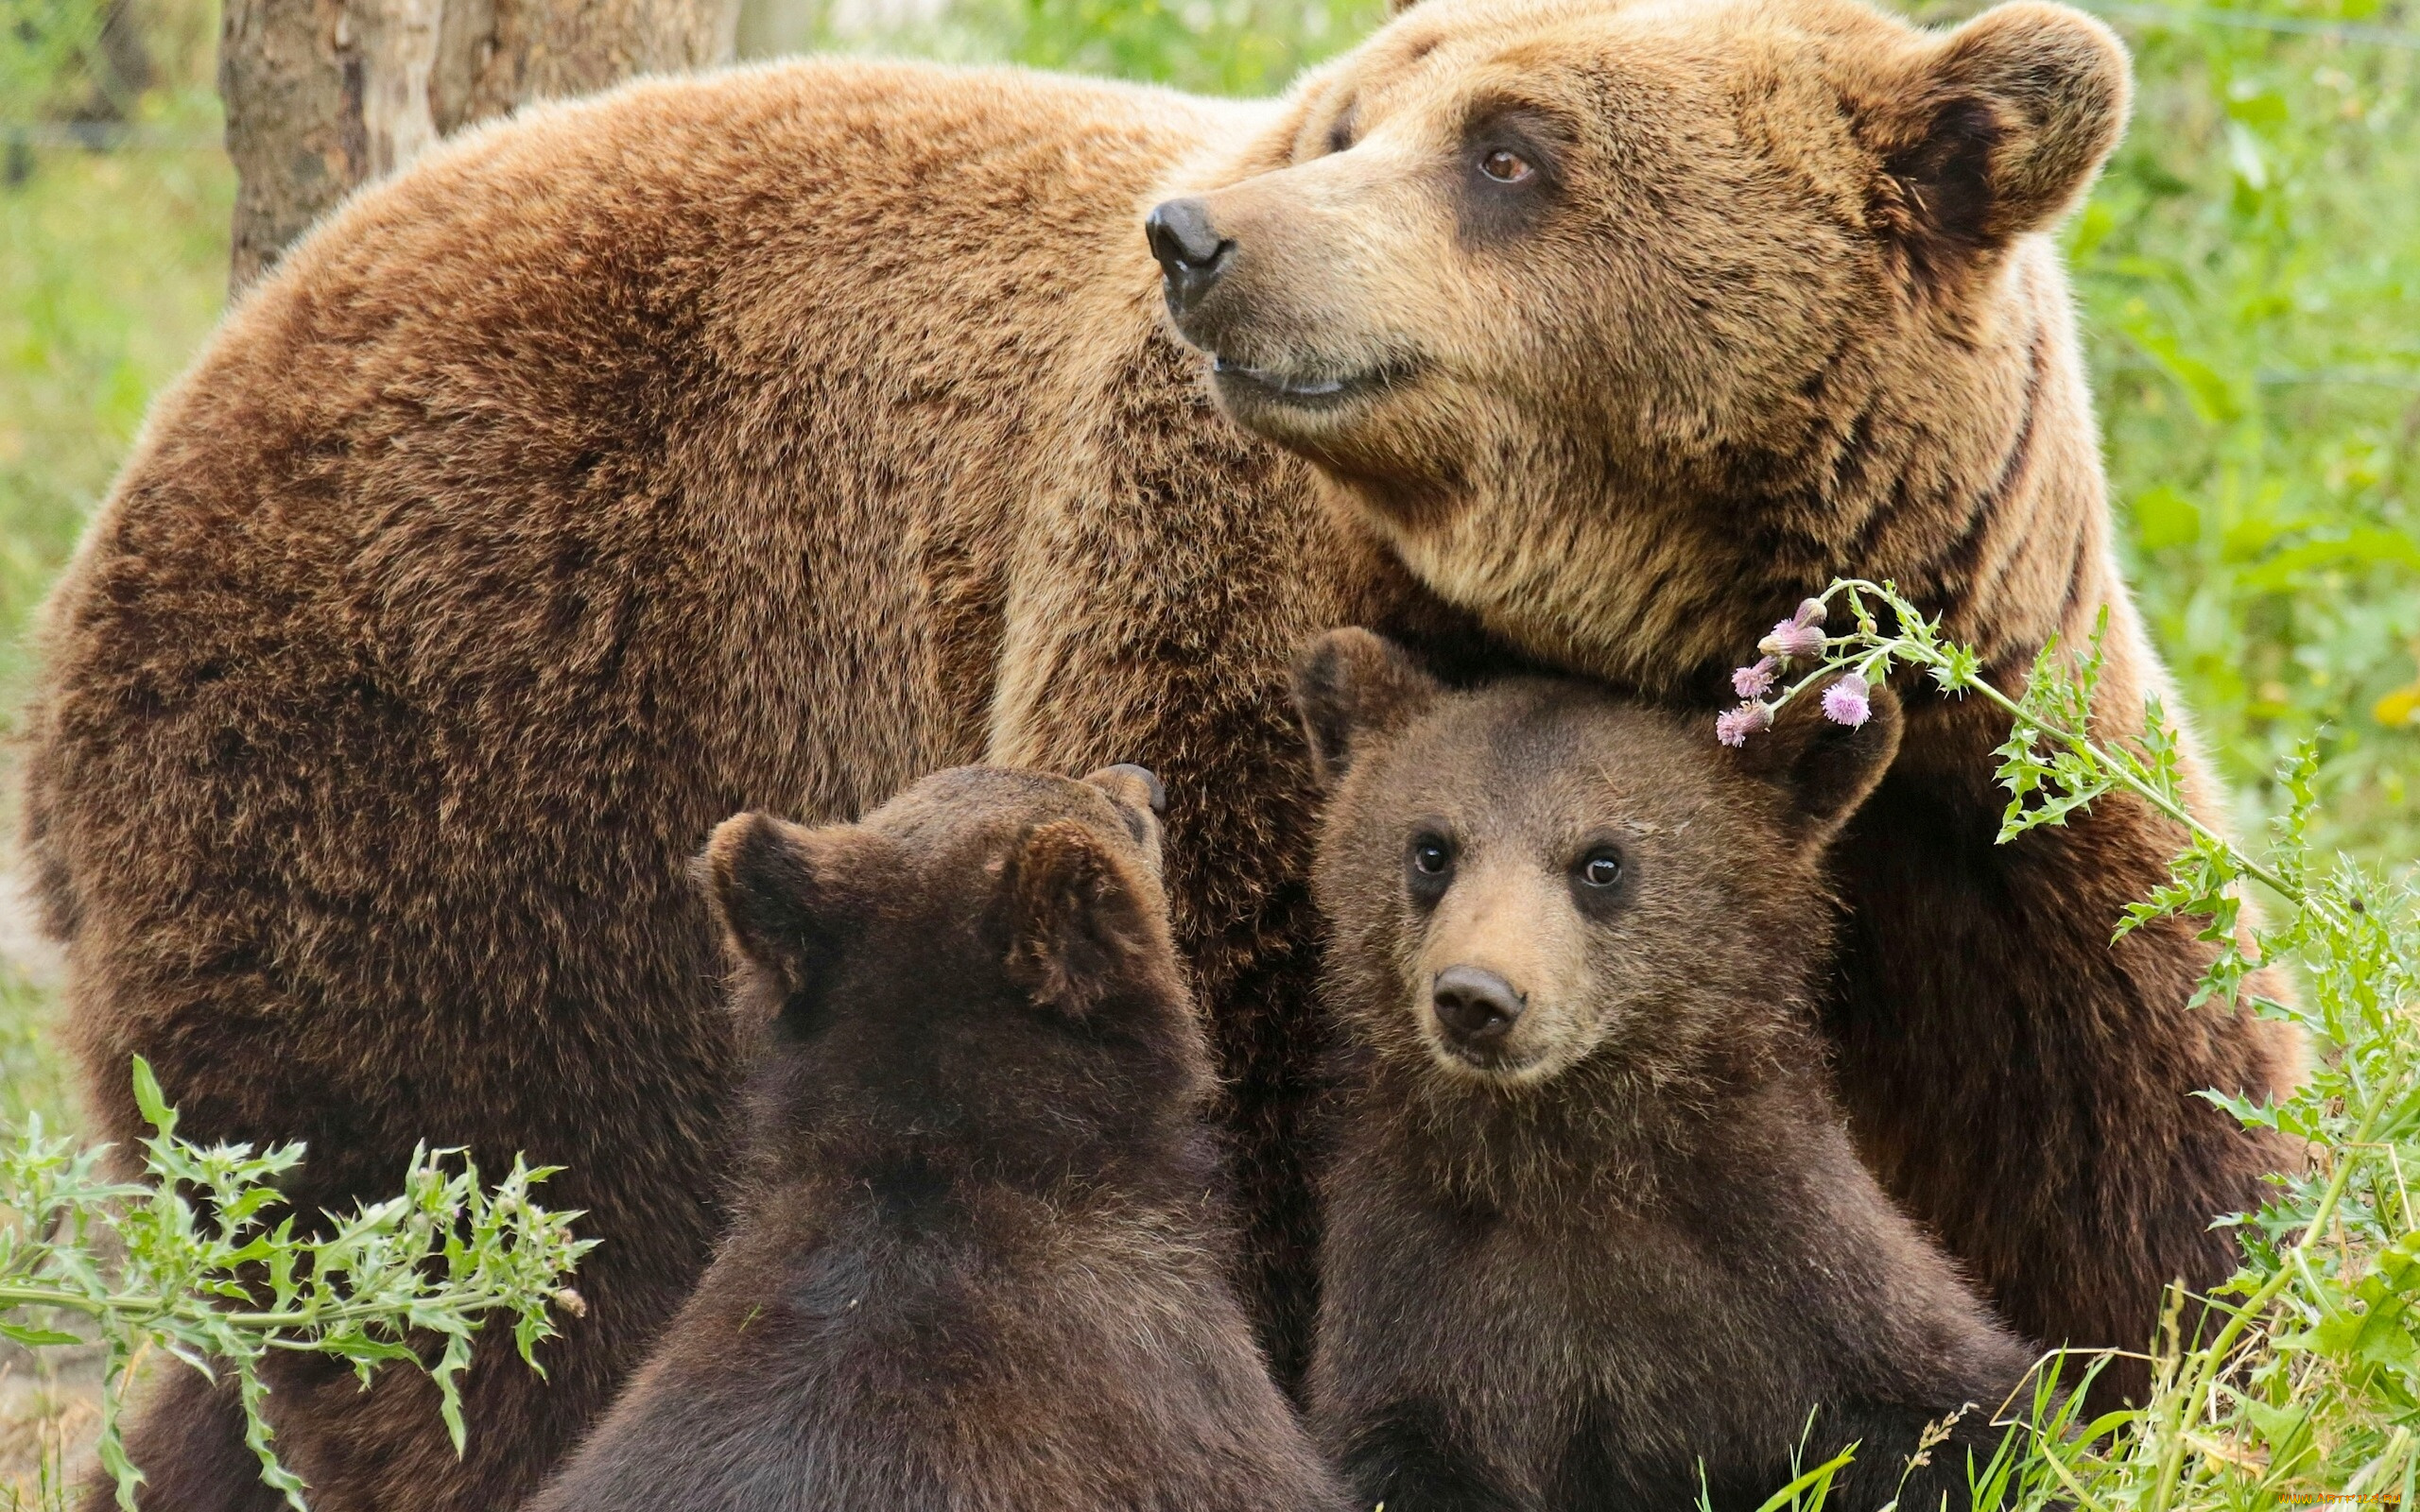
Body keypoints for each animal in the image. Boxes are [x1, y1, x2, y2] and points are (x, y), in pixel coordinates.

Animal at [23, 0, 2284, 1500]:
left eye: (1511, 146)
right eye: (1359, 111)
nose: (1203, 236)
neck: (1661, 614)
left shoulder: (1978, 762)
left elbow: (2138, 1152)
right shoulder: (1232, 631)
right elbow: (1244, 1118)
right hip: (466, 774)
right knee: (488, 1259)